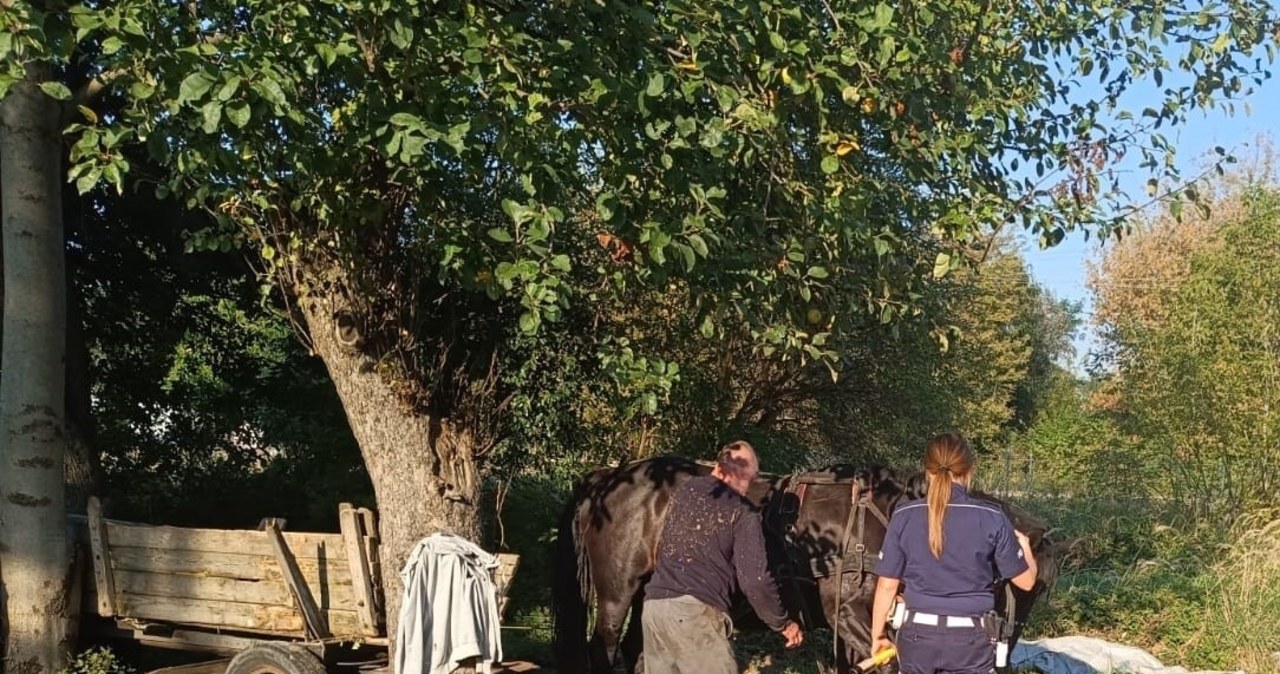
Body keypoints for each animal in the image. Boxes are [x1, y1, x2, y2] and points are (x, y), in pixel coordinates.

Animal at [555, 455, 1075, 674]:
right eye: (1012, 580)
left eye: (1038, 589)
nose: (1004, 646)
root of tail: (610, 476)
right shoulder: (850, 616)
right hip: (617, 593)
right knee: (604, 648)